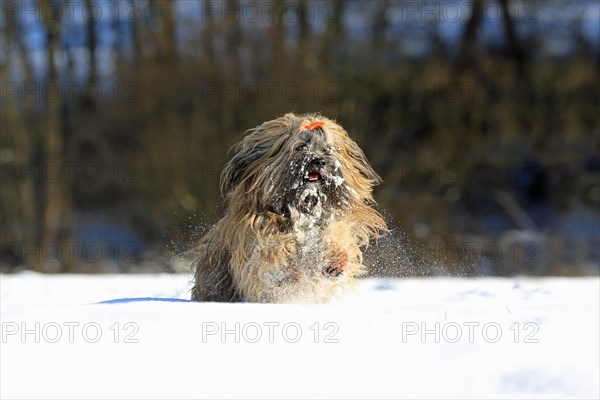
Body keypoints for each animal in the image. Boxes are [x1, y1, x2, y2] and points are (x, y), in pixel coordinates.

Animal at [192, 113, 386, 304]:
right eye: (300, 147)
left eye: (327, 150)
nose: (319, 161)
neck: (304, 208)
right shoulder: (254, 235)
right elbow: (271, 254)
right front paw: (287, 273)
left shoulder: (333, 221)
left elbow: (336, 235)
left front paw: (335, 261)